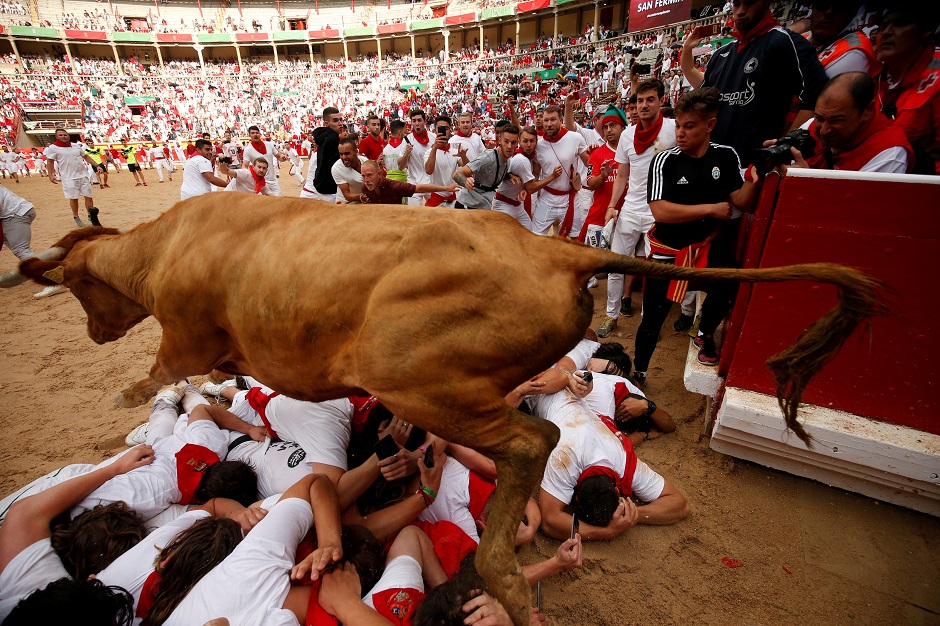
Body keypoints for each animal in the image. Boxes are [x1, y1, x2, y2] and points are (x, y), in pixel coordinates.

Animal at [1, 194, 880, 620]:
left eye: (79, 288)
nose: (94, 327)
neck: (166, 248)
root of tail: (558, 249)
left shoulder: (183, 338)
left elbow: (160, 379)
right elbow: (214, 388)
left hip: (416, 375)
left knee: (529, 441)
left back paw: (501, 574)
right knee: (537, 427)